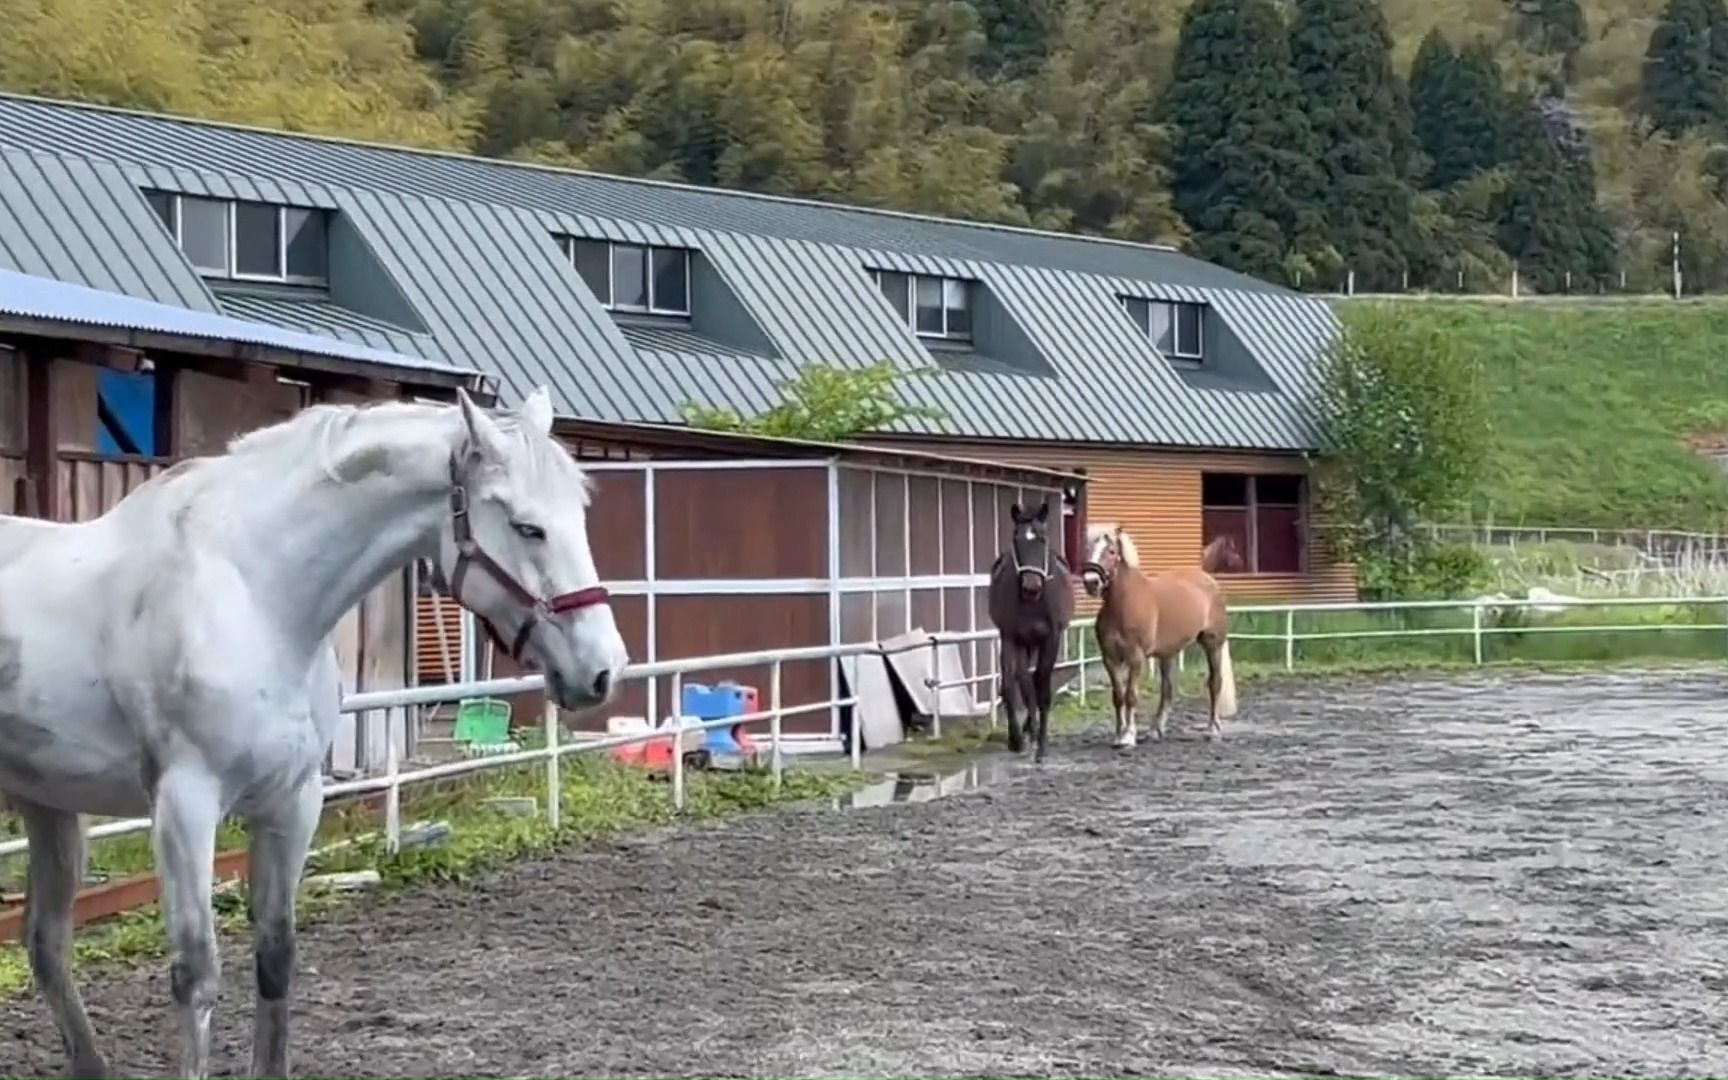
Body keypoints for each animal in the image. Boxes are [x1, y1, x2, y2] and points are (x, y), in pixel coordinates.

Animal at [0, 387, 628, 1078]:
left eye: (579, 514)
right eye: (526, 526)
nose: (602, 670)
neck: (255, 595)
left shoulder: (293, 801)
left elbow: (276, 958)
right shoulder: (184, 805)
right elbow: (195, 976)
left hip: (48, 801)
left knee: (47, 945)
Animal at [995, 501, 1071, 763]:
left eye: (1042, 538)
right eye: (1016, 538)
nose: (1031, 586)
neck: (1033, 603)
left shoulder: (1051, 638)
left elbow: (1043, 687)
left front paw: (1042, 747)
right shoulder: (1010, 638)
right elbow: (1013, 685)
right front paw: (1016, 739)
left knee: (1034, 681)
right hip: (1024, 644)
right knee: (1024, 681)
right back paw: (1028, 728)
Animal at [1071, 525, 1237, 746]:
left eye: (1112, 551)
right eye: (1087, 548)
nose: (1091, 582)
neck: (1123, 604)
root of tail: (1210, 581)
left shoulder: (1136, 657)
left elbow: (1131, 696)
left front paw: (1128, 736)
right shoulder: (1110, 658)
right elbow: (1118, 696)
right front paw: (1118, 734)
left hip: (1213, 644)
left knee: (1215, 683)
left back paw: (1213, 730)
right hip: (1168, 654)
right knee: (1167, 690)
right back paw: (1155, 730)